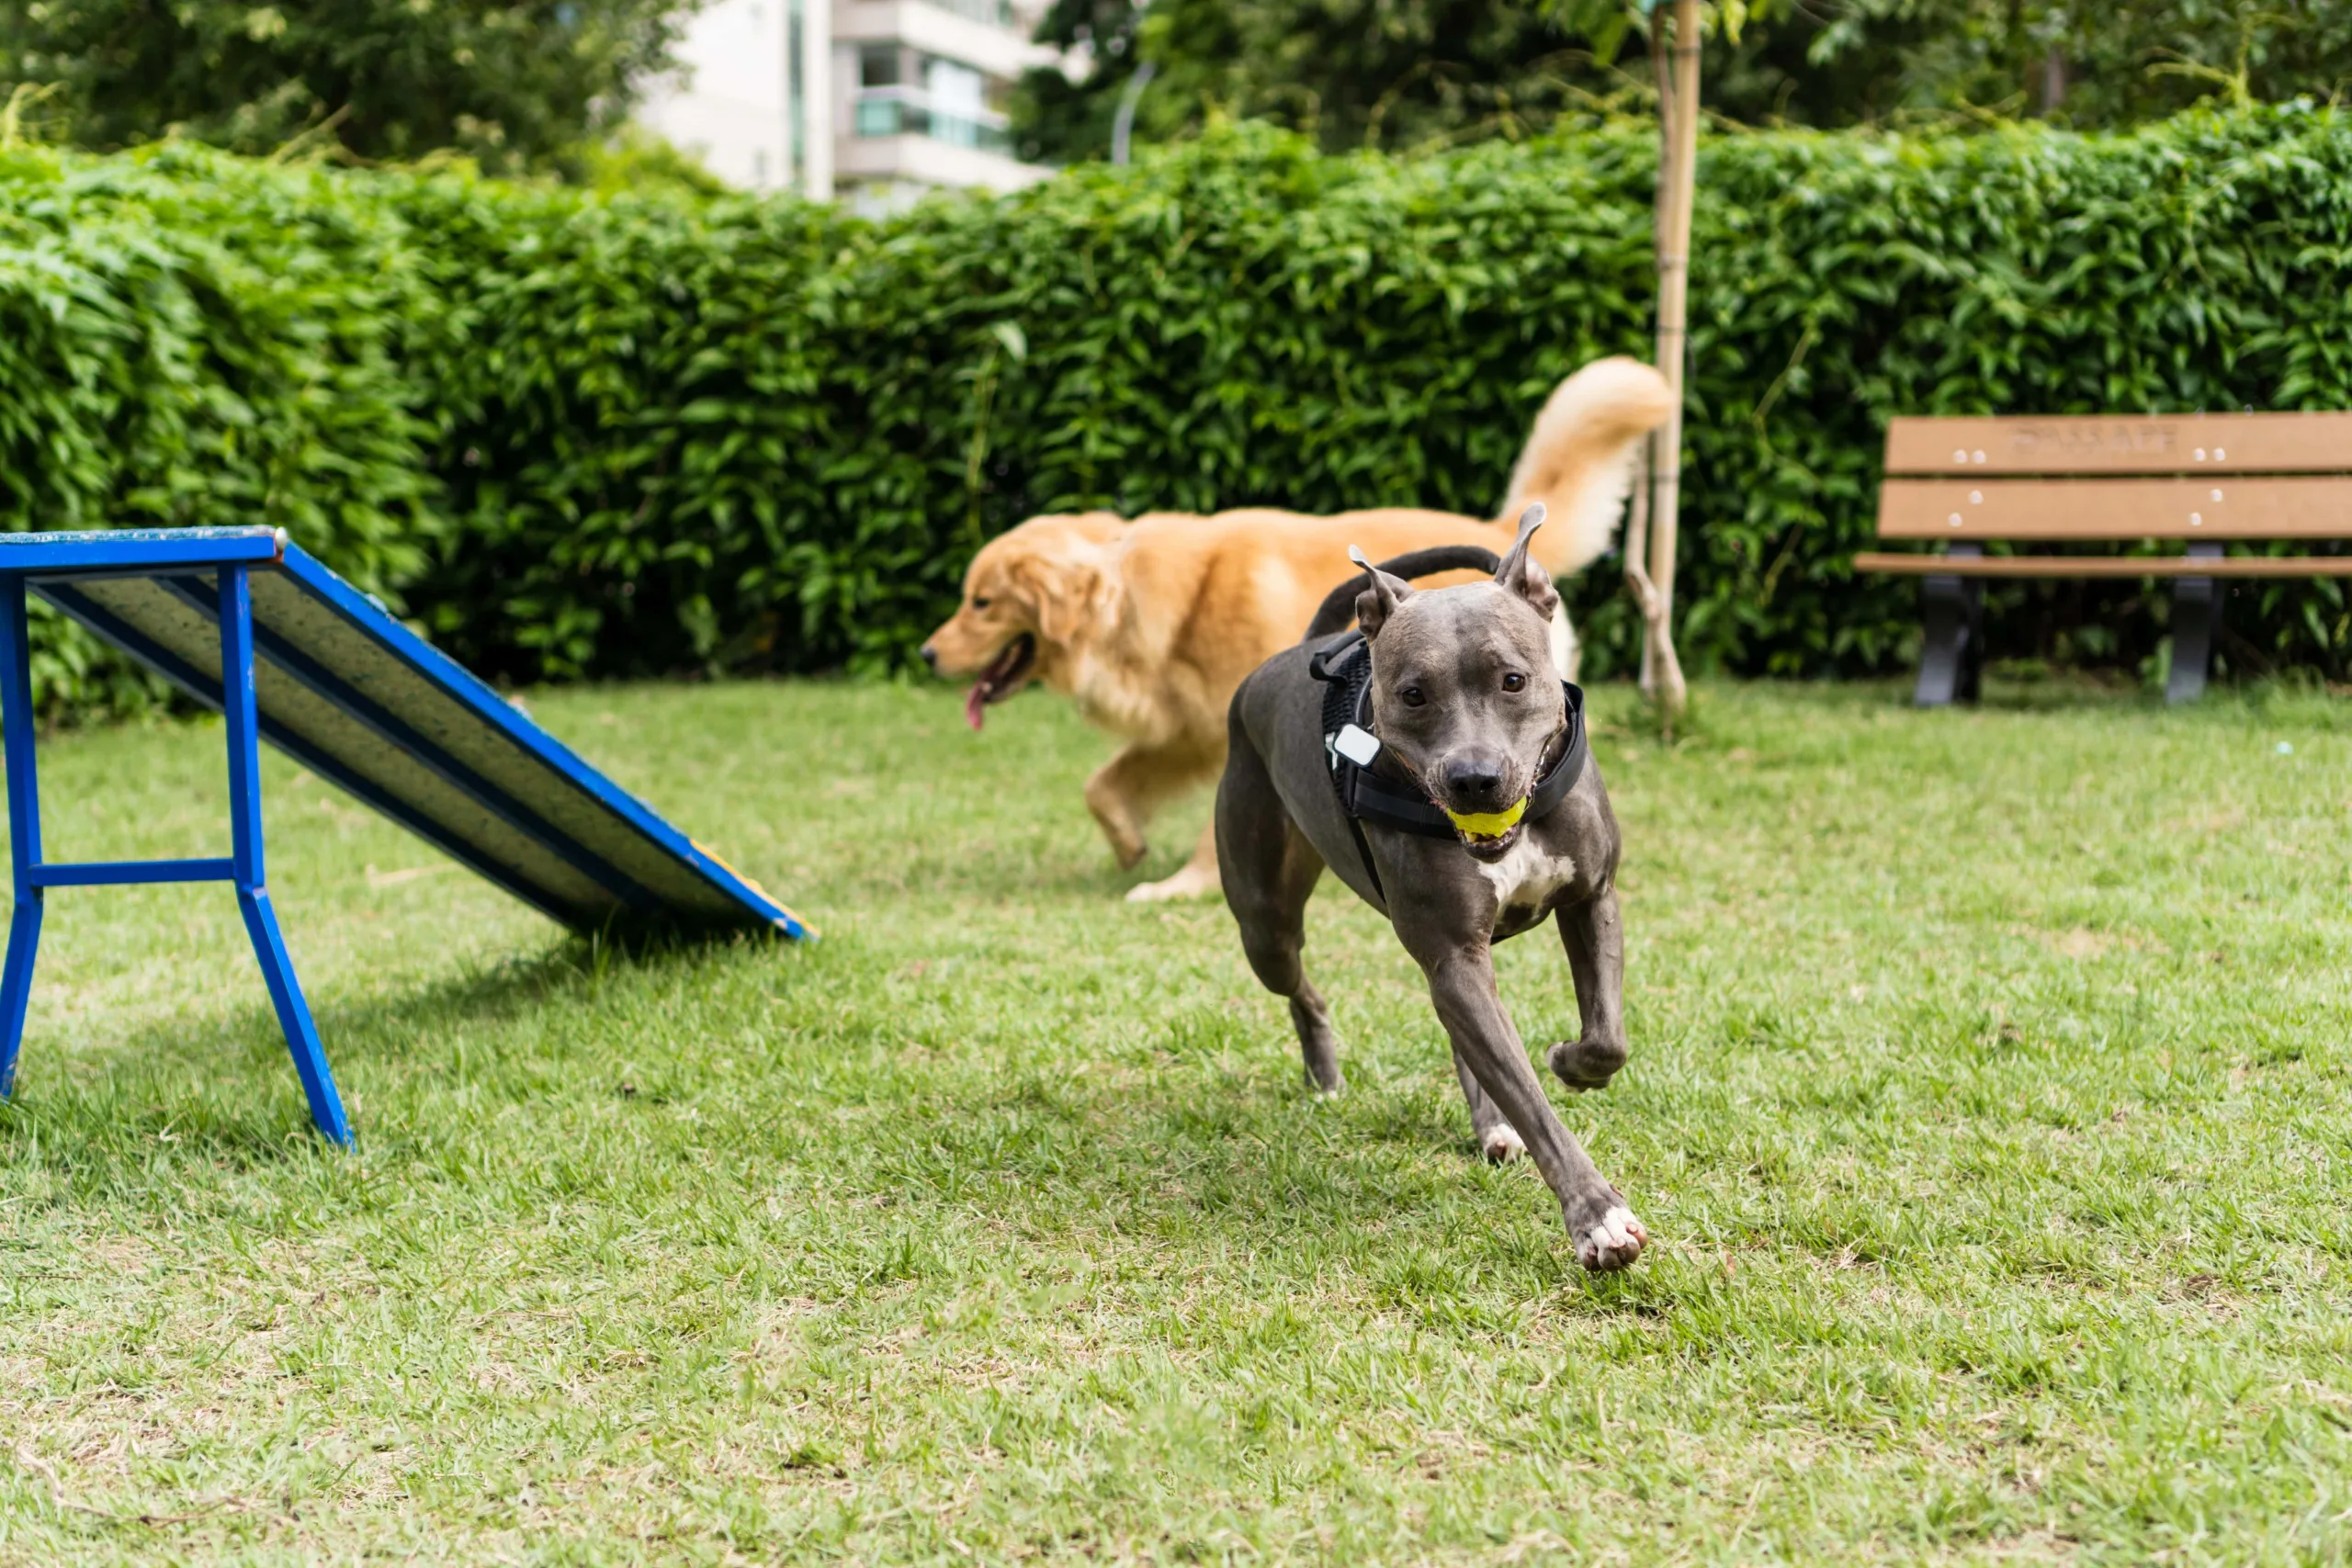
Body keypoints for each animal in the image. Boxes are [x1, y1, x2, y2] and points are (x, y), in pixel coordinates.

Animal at [917, 355, 1674, 893]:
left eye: (980, 603)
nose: (925, 653)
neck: (1144, 600)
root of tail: (1496, 538)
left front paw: (1181, 884)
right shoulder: (1188, 729)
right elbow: (1102, 785)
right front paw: (1130, 845)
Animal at [1213, 510, 1656, 1269]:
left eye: (1513, 679)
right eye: (1412, 694)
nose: (1473, 779)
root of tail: (1292, 654)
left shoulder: (1592, 896)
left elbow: (1606, 1039)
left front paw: (1570, 1062)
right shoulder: (1454, 955)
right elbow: (1533, 1098)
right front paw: (1598, 1218)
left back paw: (1490, 1126)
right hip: (1265, 922)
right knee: (1302, 985)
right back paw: (1326, 1071)